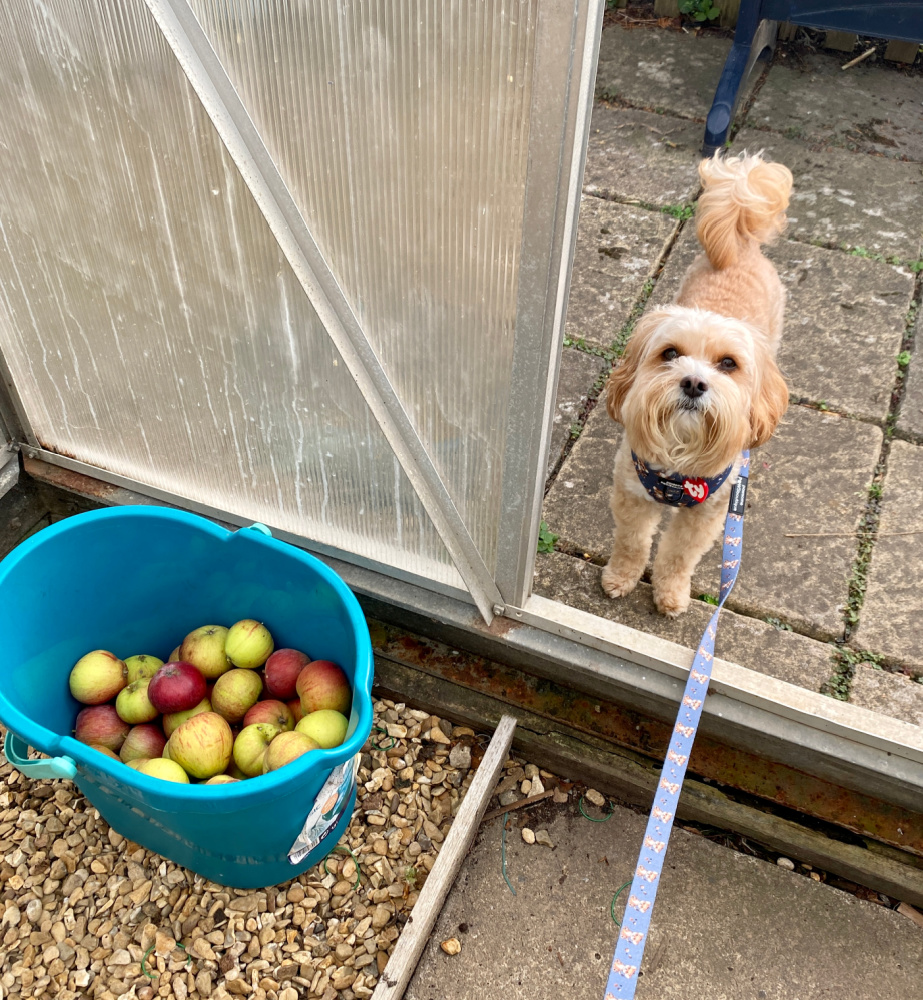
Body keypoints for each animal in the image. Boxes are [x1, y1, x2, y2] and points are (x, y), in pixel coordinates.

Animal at [600, 150, 796, 616]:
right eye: (670, 353)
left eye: (728, 364)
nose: (693, 383)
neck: (678, 466)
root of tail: (741, 243)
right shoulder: (632, 495)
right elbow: (632, 543)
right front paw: (621, 577)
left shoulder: (707, 515)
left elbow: (677, 554)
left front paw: (670, 593)